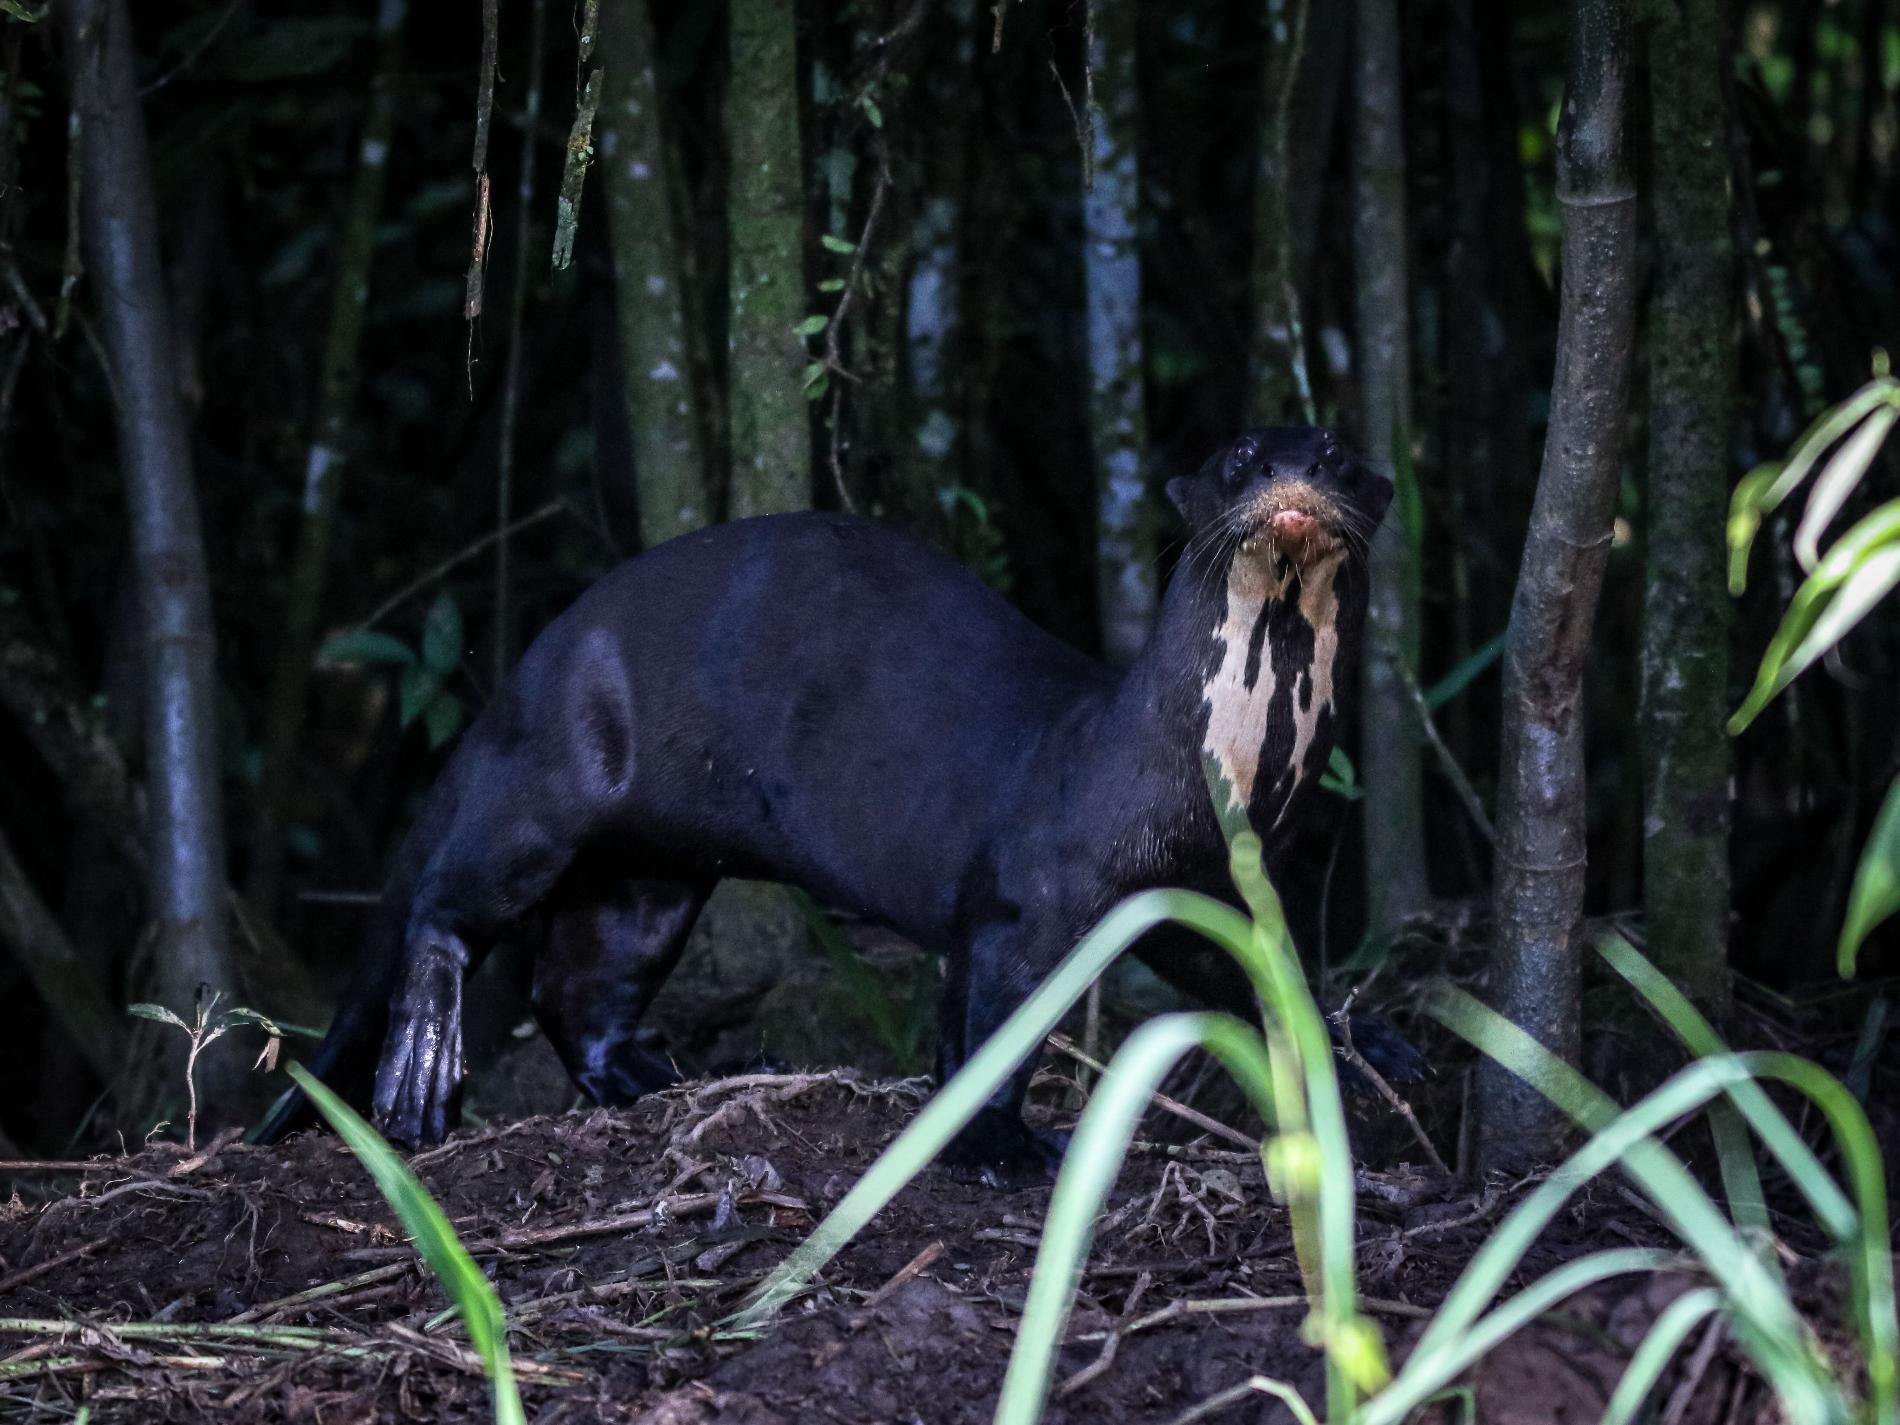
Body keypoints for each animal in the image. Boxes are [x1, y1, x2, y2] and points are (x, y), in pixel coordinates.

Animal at [260, 429, 1406, 1178]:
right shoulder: (1026, 893)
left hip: (649, 875)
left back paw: (653, 1076)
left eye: (1337, 456)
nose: (1295, 476)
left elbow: (1261, 976)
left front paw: (1360, 1050)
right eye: (1242, 459)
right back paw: (421, 1078)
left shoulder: (1212, 883)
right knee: (449, 905)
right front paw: (996, 1143)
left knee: (576, 987)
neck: (1202, 776)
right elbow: (996, 1021)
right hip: (550, 782)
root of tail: (530, 664)